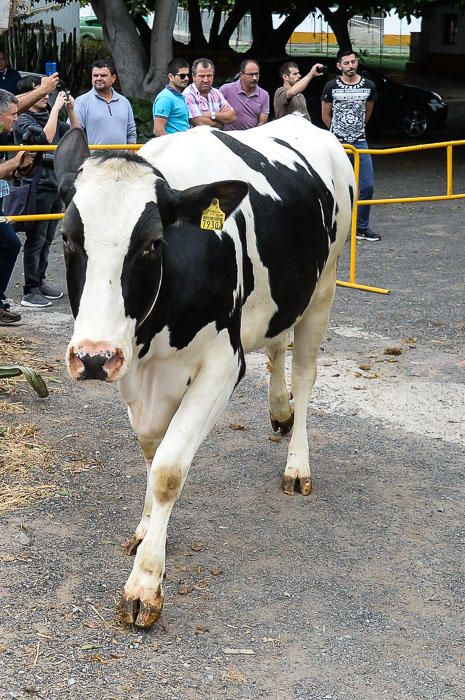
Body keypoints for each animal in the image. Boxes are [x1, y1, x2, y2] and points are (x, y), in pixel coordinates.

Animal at [53, 116, 352, 628]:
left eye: (153, 244)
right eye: (68, 239)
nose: (92, 357)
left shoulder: (222, 364)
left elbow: (169, 469)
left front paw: (145, 583)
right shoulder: (134, 372)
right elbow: (152, 453)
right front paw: (147, 528)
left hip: (324, 286)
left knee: (306, 374)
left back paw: (297, 463)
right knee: (276, 348)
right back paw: (280, 411)